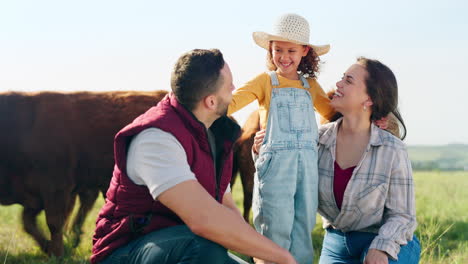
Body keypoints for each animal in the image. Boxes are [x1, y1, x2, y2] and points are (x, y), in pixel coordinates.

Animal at [0, 89, 167, 256]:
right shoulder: (35, 195)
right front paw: (49, 247)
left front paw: (58, 253)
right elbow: (27, 222)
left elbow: (54, 223)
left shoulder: (57, 187)